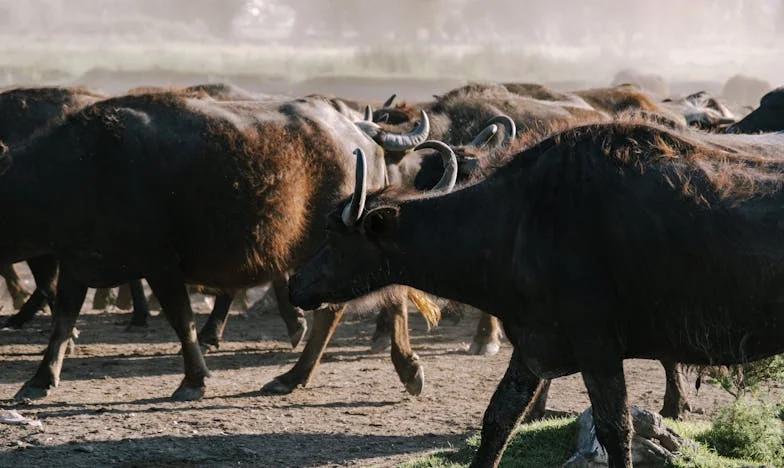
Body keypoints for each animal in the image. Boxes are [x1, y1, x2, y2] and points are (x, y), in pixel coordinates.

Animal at [1, 92, 428, 402]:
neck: (79, 170)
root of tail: (361, 132)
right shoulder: (76, 263)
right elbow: (62, 320)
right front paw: (39, 380)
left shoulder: (161, 264)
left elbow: (181, 320)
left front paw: (194, 380)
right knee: (383, 299)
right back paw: (391, 369)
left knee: (346, 307)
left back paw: (304, 374)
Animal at [288, 122, 784, 466]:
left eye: (333, 233)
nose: (296, 284)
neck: (518, 225)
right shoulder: (532, 346)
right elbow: (497, 419)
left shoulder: (598, 347)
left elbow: (616, 429)